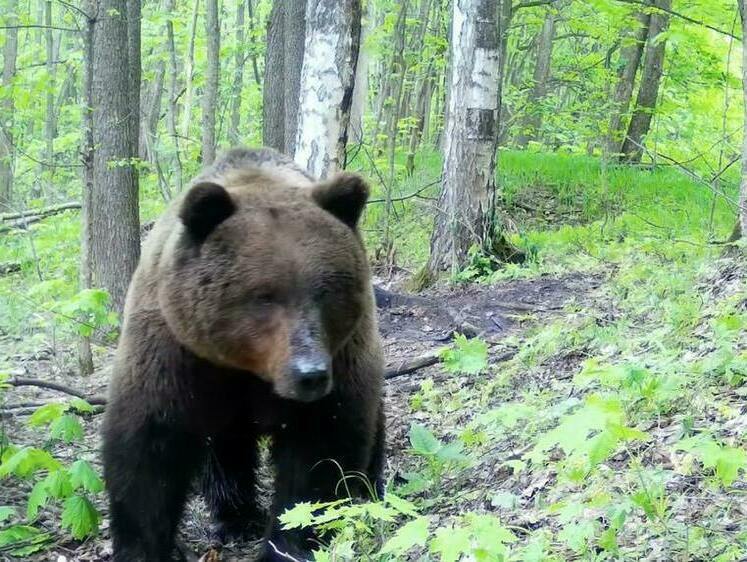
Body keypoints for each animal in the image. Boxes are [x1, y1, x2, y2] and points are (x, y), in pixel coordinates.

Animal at [102, 147, 386, 556]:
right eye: (264, 295)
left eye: (326, 290)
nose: (310, 374)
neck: (246, 366)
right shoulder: (175, 352)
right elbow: (150, 445)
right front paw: (145, 546)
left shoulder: (341, 357)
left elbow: (320, 450)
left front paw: (288, 546)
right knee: (226, 449)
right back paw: (235, 519)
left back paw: (371, 487)